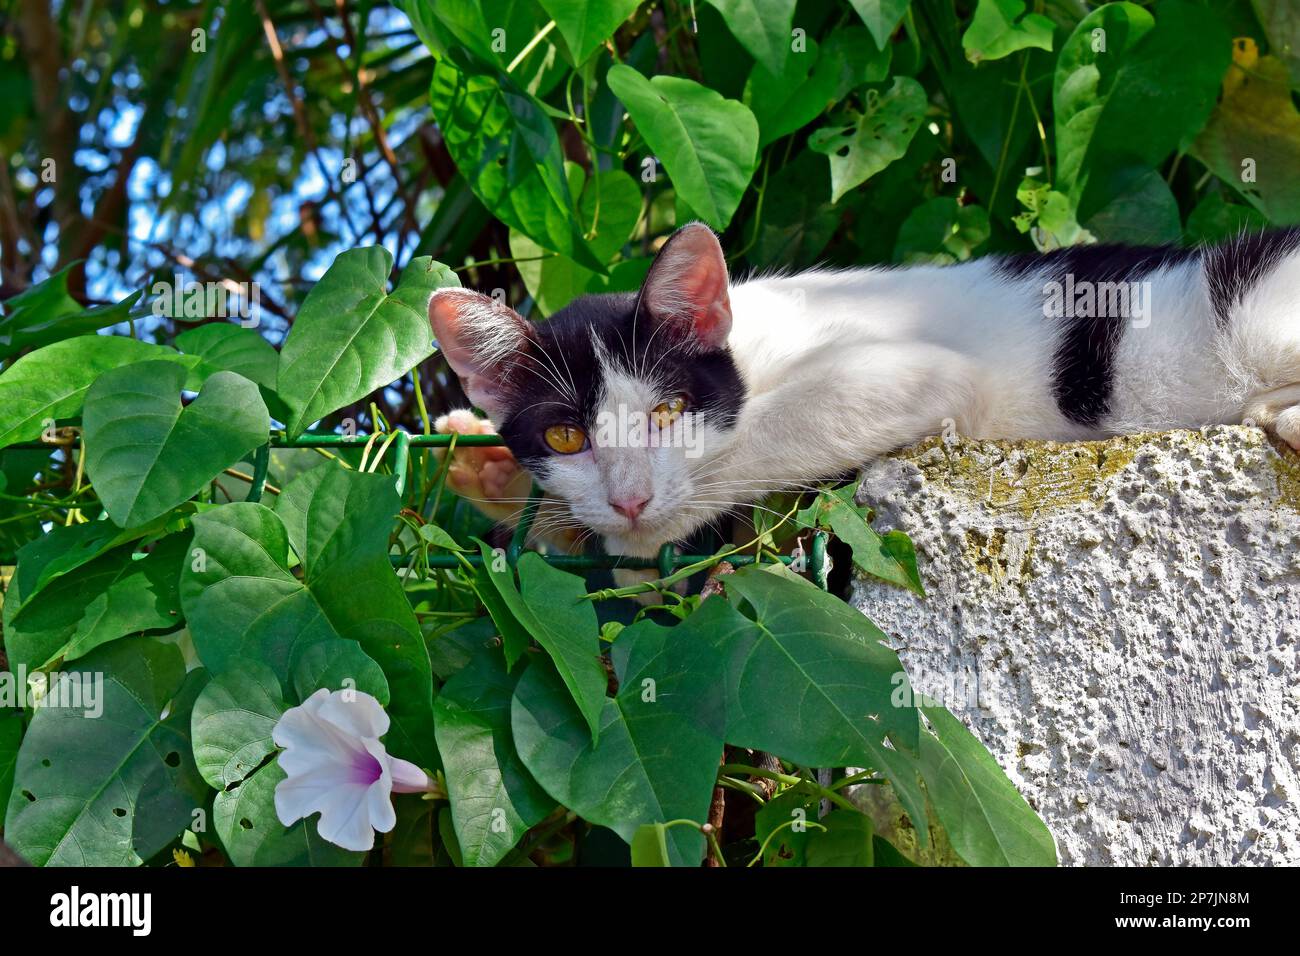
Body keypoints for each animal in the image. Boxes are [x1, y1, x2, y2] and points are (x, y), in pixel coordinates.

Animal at [431, 222, 1300, 561]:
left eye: (669, 412)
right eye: (567, 438)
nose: (630, 499)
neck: (753, 345)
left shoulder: (918, 372)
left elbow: (762, 437)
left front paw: (655, 525)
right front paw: (494, 474)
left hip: (1253, 314)